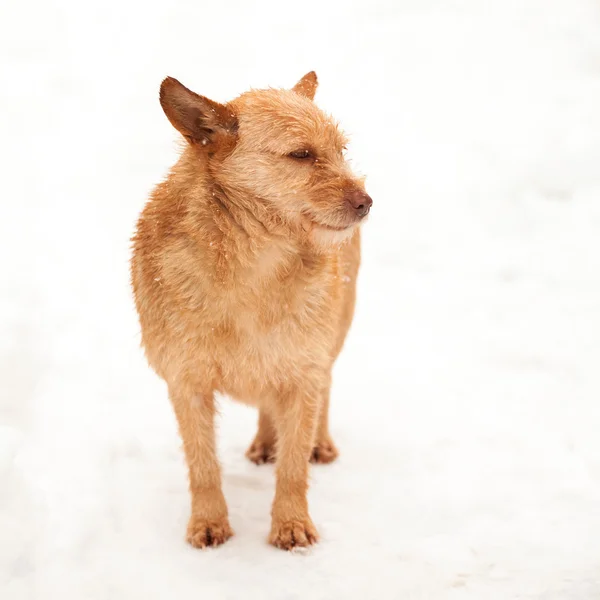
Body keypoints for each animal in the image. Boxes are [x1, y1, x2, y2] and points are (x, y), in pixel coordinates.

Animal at [132, 70, 372, 548]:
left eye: (341, 150)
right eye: (301, 154)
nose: (366, 202)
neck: (253, 264)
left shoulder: (303, 374)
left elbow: (293, 467)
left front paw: (291, 523)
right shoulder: (186, 383)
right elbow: (203, 466)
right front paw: (208, 522)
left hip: (332, 335)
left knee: (325, 386)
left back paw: (318, 441)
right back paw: (265, 441)